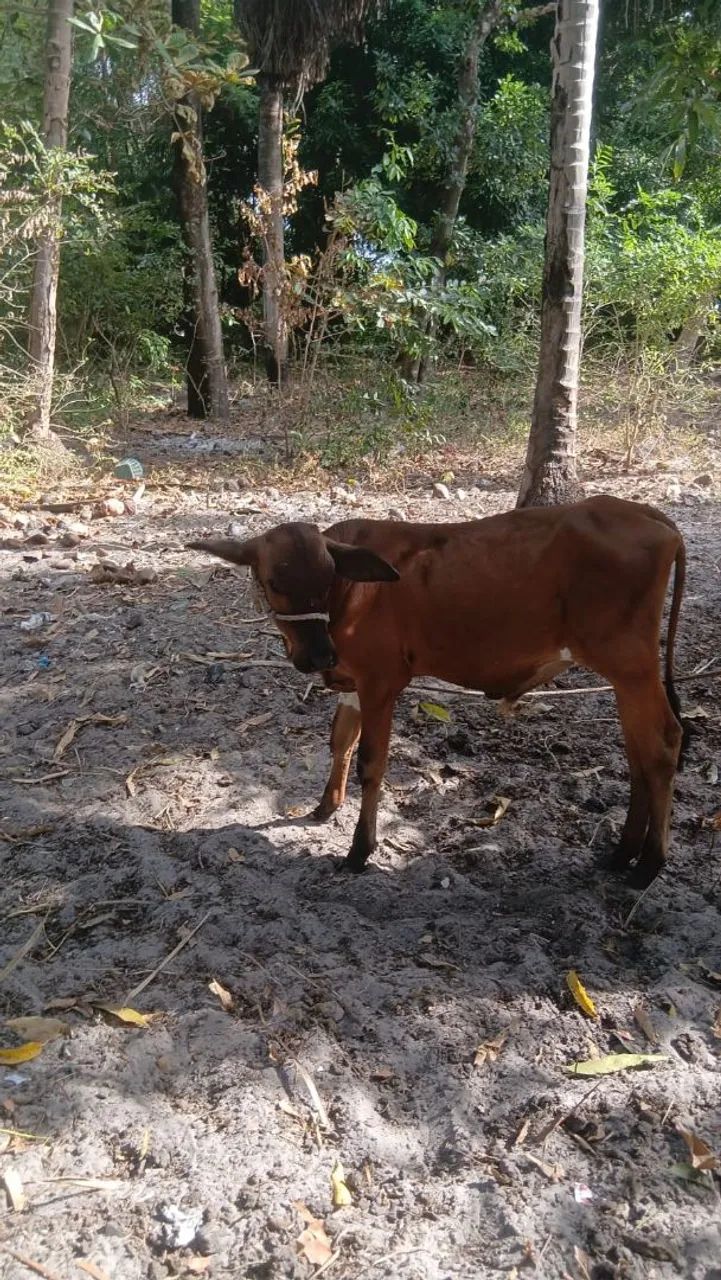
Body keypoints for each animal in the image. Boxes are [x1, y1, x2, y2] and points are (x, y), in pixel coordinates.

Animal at [188, 495, 687, 889]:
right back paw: (623, 853)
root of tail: (645, 513)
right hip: (626, 678)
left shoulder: (381, 681)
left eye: (326, 578)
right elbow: (340, 740)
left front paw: (360, 849)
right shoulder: (352, 680)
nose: (317, 656)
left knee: (663, 745)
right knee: (639, 754)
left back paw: (650, 864)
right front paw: (326, 805)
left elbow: (371, 762)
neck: (352, 595)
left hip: (632, 665)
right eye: (274, 582)